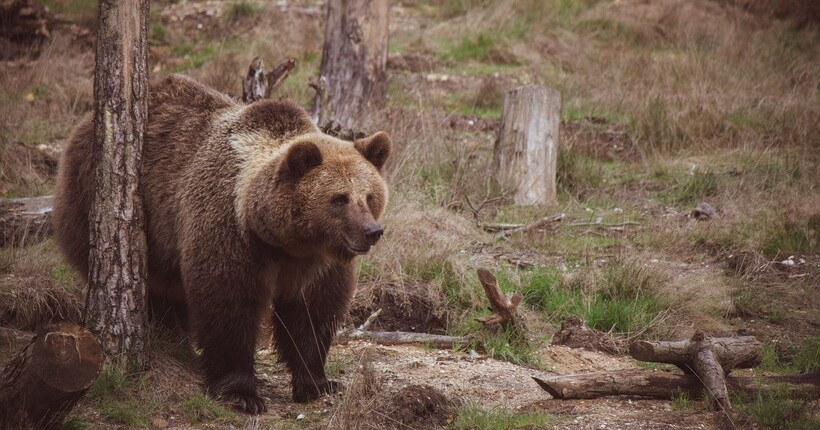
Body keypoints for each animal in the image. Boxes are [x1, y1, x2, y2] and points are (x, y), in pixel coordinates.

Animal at [52, 74, 392, 414]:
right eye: (339, 198)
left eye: (369, 196)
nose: (371, 231)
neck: (280, 240)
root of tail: (84, 124)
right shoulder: (228, 230)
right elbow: (228, 303)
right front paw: (241, 392)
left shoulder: (314, 262)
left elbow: (311, 313)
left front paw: (317, 383)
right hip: (101, 204)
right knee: (156, 289)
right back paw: (169, 336)